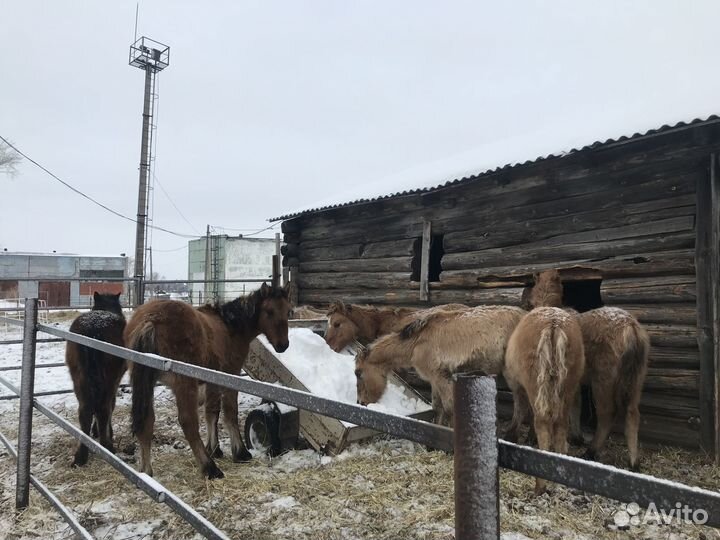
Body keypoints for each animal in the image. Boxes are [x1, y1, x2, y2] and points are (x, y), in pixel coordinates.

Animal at [65, 292, 126, 467]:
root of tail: (93, 329)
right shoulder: (115, 382)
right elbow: (111, 406)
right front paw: (105, 432)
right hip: (109, 380)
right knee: (104, 409)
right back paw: (107, 446)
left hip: (79, 380)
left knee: (84, 411)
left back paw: (81, 455)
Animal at [125, 282, 291, 479]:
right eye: (269, 311)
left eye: (288, 312)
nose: (283, 345)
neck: (229, 327)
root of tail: (150, 320)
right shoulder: (230, 376)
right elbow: (229, 412)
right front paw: (239, 452)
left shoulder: (211, 381)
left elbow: (211, 412)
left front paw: (214, 449)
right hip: (184, 383)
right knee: (188, 423)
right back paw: (209, 468)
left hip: (146, 383)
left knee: (147, 421)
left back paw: (146, 472)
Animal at [354, 305, 525, 427]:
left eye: (358, 373)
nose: (360, 403)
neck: (417, 342)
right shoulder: (434, 380)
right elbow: (437, 408)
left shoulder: (441, 378)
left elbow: (449, 409)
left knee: (522, 407)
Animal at [504, 306, 585, 494]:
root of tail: (553, 323)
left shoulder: (519, 387)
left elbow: (520, 410)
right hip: (568, 387)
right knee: (561, 425)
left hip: (536, 385)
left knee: (541, 423)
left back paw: (540, 484)